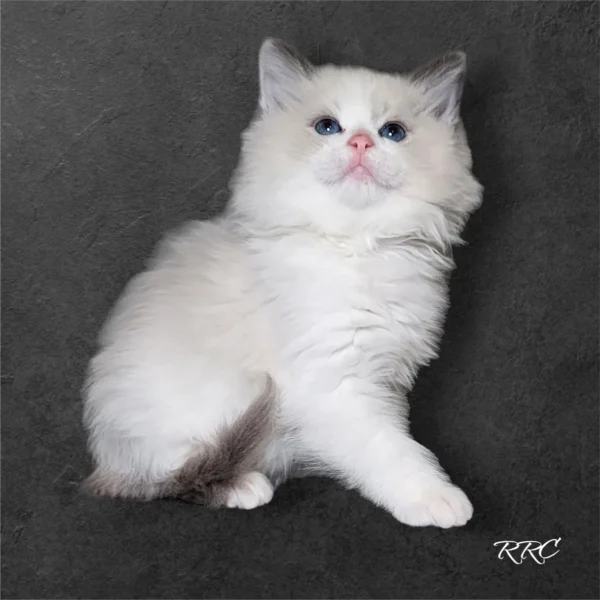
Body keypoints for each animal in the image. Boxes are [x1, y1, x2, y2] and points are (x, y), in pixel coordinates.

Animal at [82, 39, 482, 528]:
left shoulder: (384, 379)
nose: (361, 141)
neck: (356, 247)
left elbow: (391, 440)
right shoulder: (334, 385)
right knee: (166, 478)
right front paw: (433, 496)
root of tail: (103, 461)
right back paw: (244, 485)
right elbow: (390, 449)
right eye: (327, 127)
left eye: (392, 133)